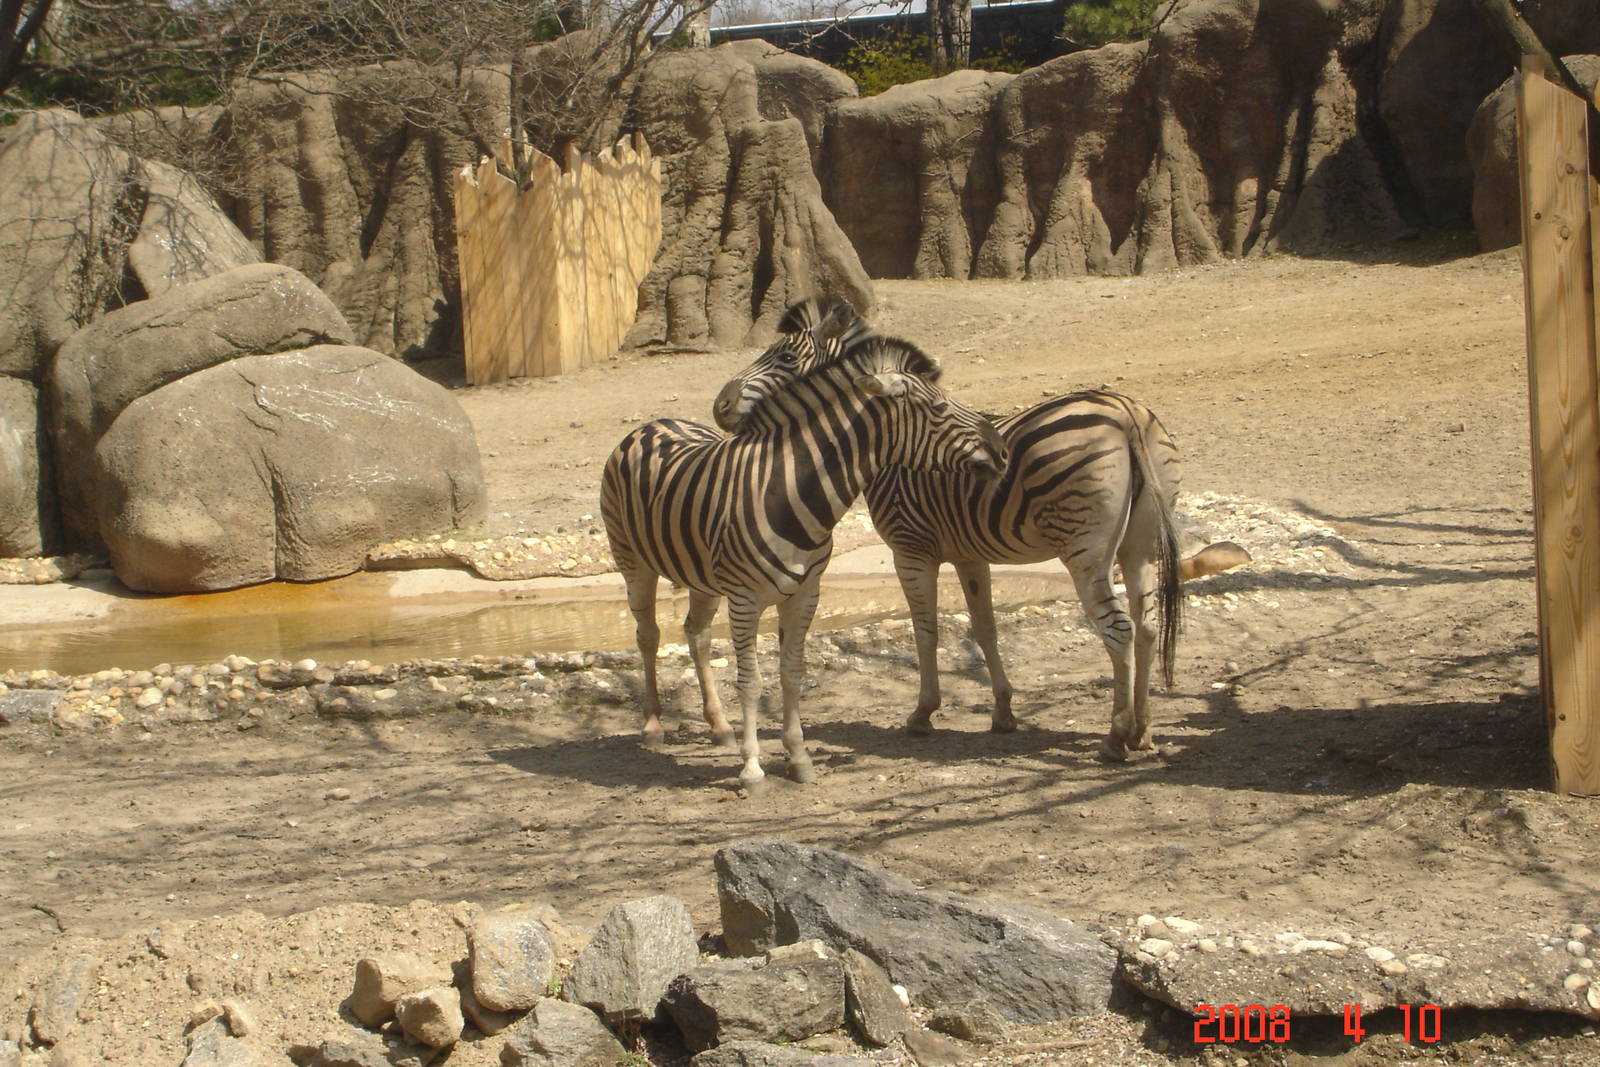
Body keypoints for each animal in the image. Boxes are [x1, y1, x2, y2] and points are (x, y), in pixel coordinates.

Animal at [600, 328, 1009, 790]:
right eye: (939, 408)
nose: (1002, 451)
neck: (789, 491)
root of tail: (653, 423)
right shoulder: (745, 599)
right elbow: (751, 681)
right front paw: (752, 768)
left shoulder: (804, 594)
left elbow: (791, 674)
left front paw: (797, 758)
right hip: (632, 562)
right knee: (648, 636)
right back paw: (653, 725)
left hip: (702, 575)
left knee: (697, 634)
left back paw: (720, 727)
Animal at [713, 325, 1183, 762]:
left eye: (787, 357)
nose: (720, 406)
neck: (893, 452)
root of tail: (1124, 412)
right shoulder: (970, 556)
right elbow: (985, 629)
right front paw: (1003, 712)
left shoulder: (911, 551)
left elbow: (926, 630)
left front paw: (923, 713)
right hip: (1139, 547)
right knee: (1146, 626)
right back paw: (1143, 731)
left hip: (1086, 552)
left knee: (1119, 630)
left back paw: (1116, 738)